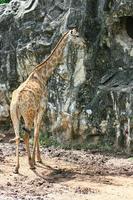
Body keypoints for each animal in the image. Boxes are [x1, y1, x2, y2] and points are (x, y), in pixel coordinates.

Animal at [10, 28, 85, 173]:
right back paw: (30, 164)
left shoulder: (37, 110)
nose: (85, 43)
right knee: (26, 135)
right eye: (77, 36)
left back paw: (16, 167)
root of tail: (17, 102)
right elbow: (37, 131)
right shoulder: (42, 107)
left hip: (15, 115)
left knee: (17, 136)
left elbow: (37, 131)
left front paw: (38, 159)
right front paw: (36, 160)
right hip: (27, 115)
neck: (43, 75)